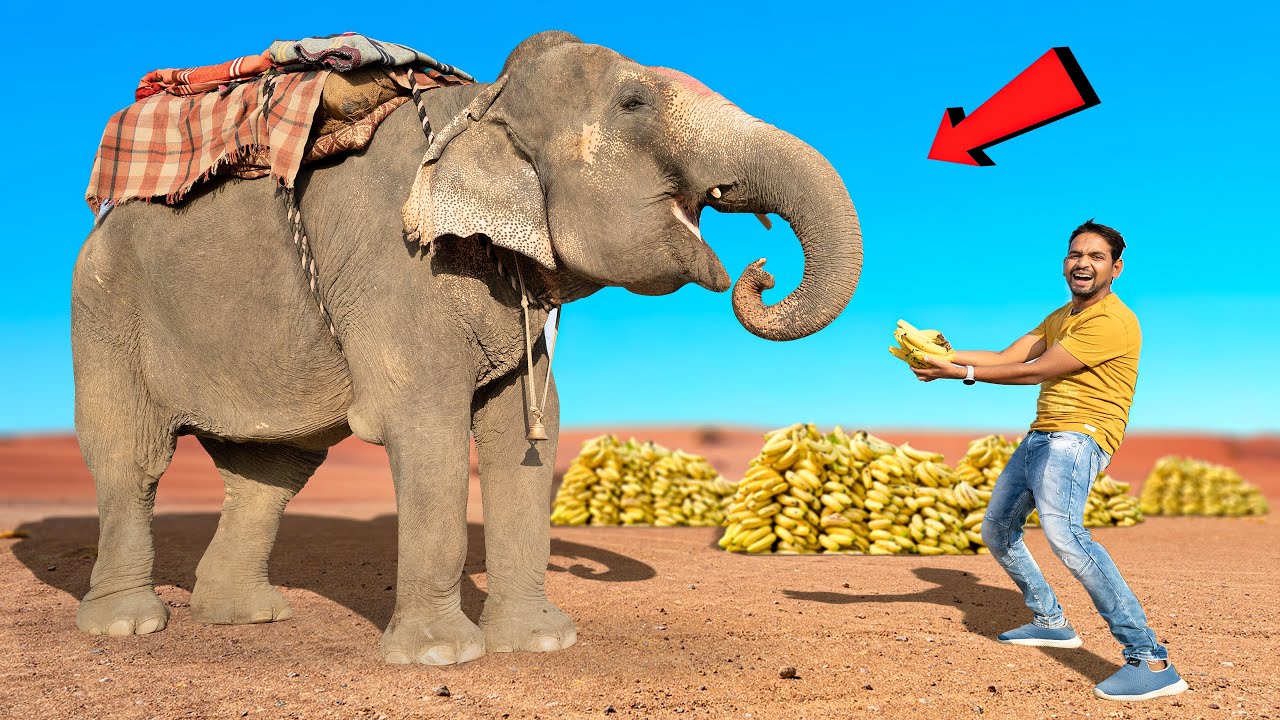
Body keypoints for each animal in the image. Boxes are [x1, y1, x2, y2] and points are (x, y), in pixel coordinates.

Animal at [70, 30, 863, 664]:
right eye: (635, 104)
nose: (761, 272)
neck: (486, 105)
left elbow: (523, 433)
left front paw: (541, 644)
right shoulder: (402, 268)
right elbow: (427, 428)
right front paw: (442, 658)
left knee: (271, 473)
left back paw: (247, 617)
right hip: (105, 309)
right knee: (131, 457)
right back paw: (127, 627)